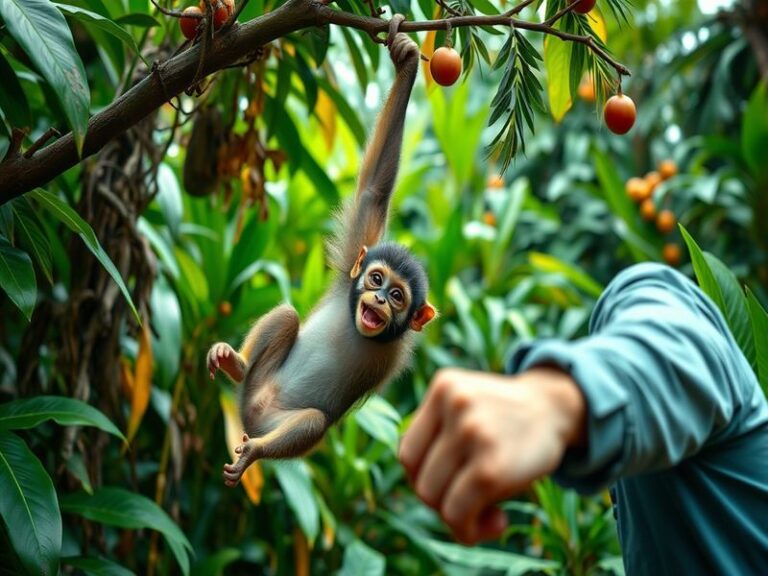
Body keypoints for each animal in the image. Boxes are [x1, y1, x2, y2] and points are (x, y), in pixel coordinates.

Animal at [206, 18, 436, 487]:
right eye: (376, 278)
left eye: (398, 296)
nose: (378, 298)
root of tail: (247, 417)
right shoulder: (352, 264)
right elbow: (373, 192)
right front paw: (405, 62)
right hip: (256, 387)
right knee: (286, 316)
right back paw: (235, 363)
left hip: (273, 421)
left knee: (312, 422)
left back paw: (254, 452)